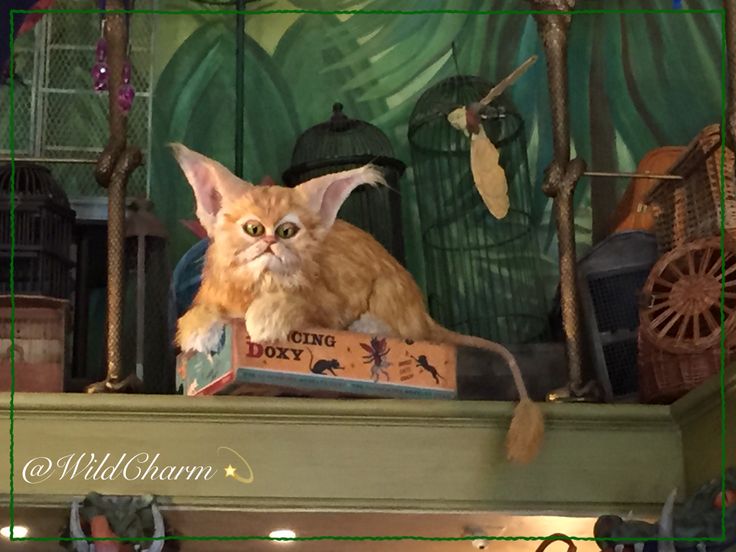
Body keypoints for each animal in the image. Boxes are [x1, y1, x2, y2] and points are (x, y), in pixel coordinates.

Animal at [171, 144, 540, 464]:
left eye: (289, 231)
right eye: (252, 228)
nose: (271, 240)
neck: (260, 284)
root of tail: (424, 314)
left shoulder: (328, 302)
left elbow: (297, 302)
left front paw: (265, 318)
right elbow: (199, 314)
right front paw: (199, 331)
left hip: (389, 289)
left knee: (403, 329)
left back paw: (368, 326)